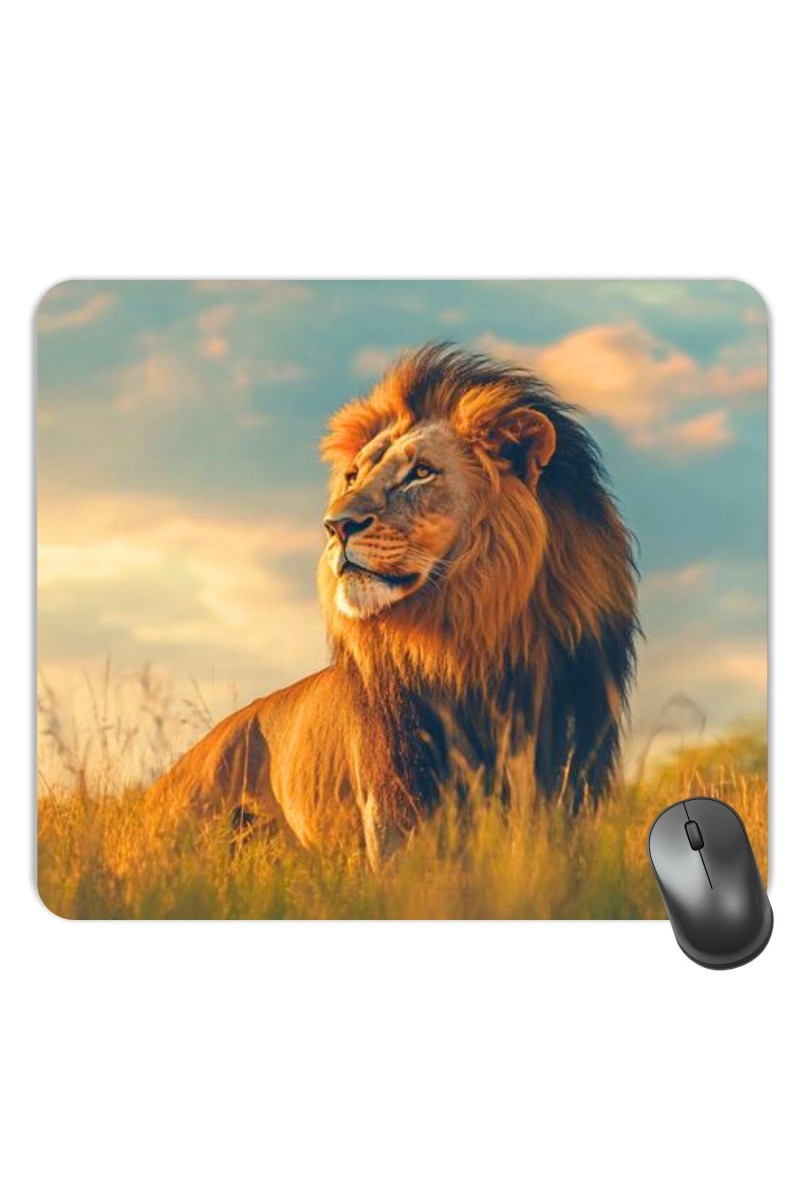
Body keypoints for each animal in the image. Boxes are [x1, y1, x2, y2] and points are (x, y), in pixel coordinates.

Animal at [149, 345, 638, 866]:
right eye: (353, 475)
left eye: (420, 472)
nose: (335, 525)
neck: (473, 643)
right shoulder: (396, 796)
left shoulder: (569, 777)